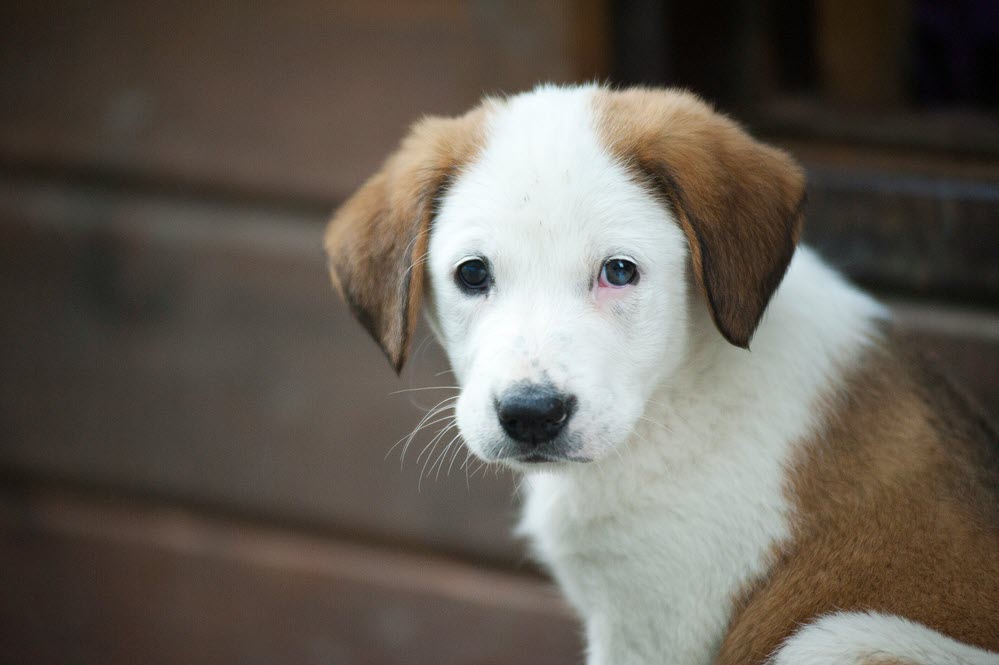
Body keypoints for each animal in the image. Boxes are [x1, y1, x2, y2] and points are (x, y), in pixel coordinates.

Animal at [326, 85, 999, 660]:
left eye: (619, 271)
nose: (532, 415)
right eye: (472, 273)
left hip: (840, 635)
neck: (674, 397)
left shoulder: (654, 622)